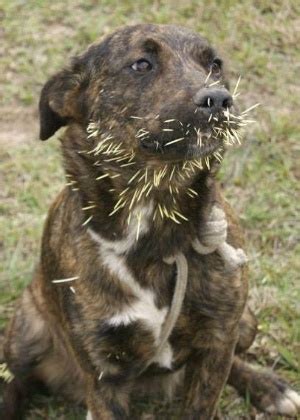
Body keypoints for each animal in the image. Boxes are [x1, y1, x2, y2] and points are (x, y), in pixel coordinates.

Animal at [2, 23, 300, 420]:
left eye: (215, 64)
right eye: (141, 64)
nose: (220, 99)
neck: (156, 221)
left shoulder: (216, 345)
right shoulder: (104, 376)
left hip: (245, 321)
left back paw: (270, 387)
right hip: (25, 336)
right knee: (14, 380)